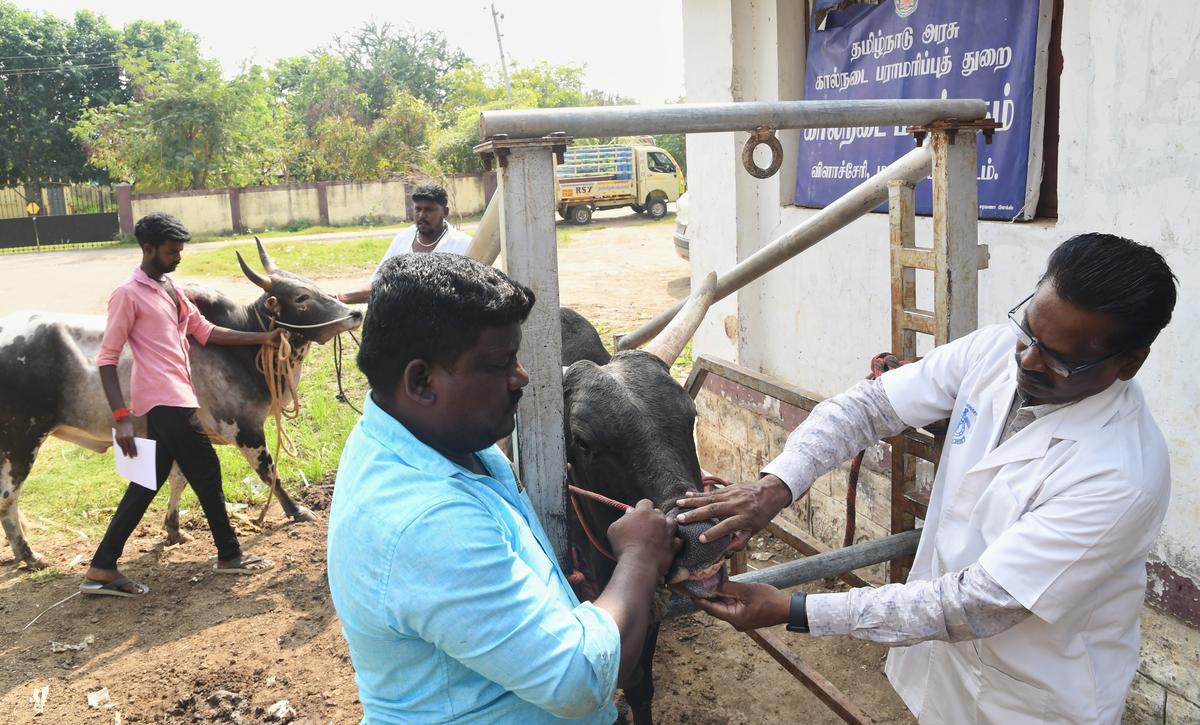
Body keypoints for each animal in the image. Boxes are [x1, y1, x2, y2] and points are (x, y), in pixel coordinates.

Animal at [0, 241, 360, 568]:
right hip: (20, 441)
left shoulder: (185, 433)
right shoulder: (244, 428)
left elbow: (178, 479)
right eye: (301, 297)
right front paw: (296, 511)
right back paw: (29, 555)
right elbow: (269, 473)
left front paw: (173, 529)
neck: (243, 349)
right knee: (8, 498)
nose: (355, 313)